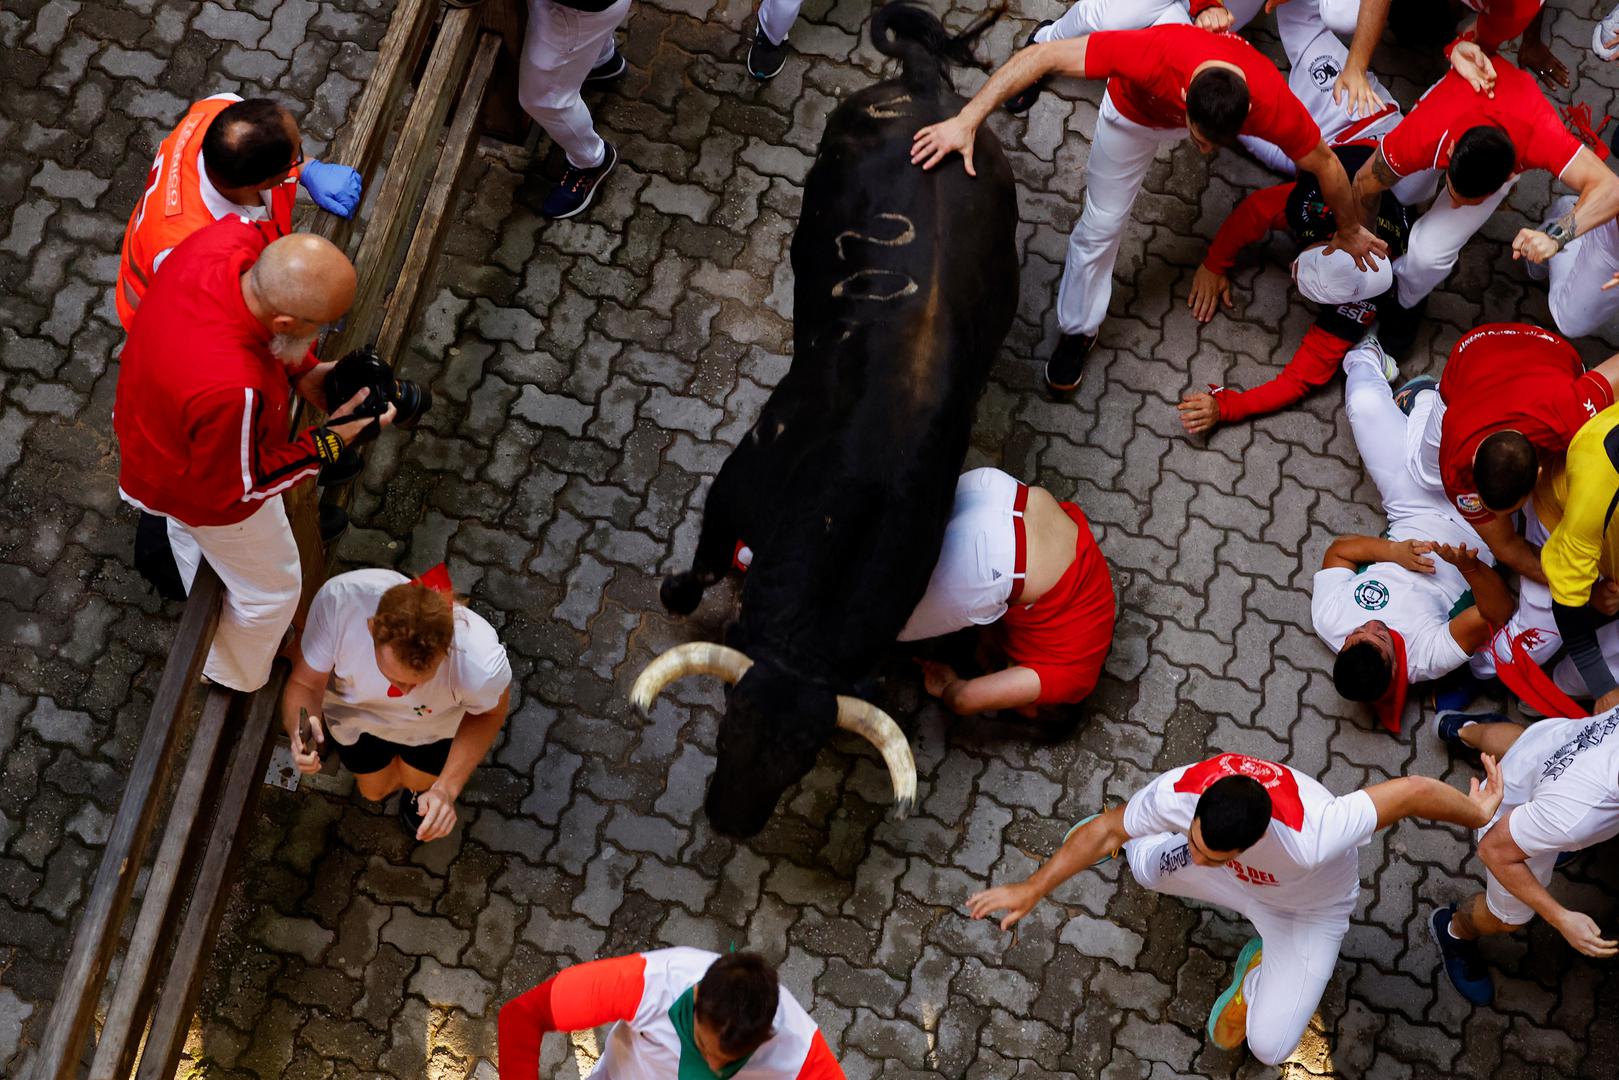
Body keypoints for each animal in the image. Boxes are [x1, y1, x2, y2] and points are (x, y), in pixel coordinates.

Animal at [631, 4, 1010, 841]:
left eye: (799, 760)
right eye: (725, 727)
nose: (729, 821)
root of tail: (927, 92)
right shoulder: (738, 478)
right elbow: (705, 565)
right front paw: (675, 591)